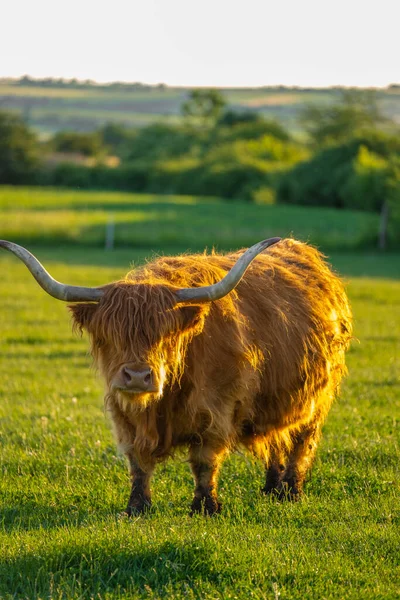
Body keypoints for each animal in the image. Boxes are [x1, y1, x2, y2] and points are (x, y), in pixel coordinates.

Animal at [0, 239, 350, 516]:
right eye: (111, 334)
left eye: (165, 336)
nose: (137, 376)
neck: (163, 404)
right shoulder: (124, 414)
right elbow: (138, 462)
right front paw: (136, 507)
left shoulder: (216, 409)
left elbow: (204, 461)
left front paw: (206, 508)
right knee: (277, 436)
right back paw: (271, 488)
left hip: (317, 400)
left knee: (301, 442)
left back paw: (291, 492)